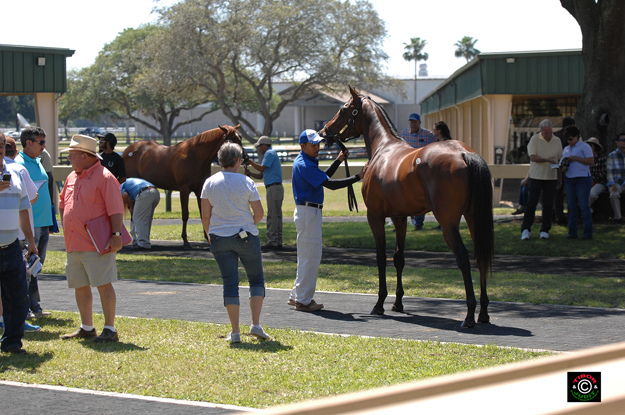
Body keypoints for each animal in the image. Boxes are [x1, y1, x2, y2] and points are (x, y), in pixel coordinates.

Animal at [322, 88, 492, 328]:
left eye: (344, 109)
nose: (324, 132)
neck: (383, 149)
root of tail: (463, 153)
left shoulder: (375, 216)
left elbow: (380, 257)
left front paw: (379, 303)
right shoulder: (400, 218)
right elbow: (398, 258)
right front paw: (398, 303)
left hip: (448, 222)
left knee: (463, 257)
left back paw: (468, 316)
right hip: (473, 218)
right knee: (480, 255)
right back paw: (483, 312)